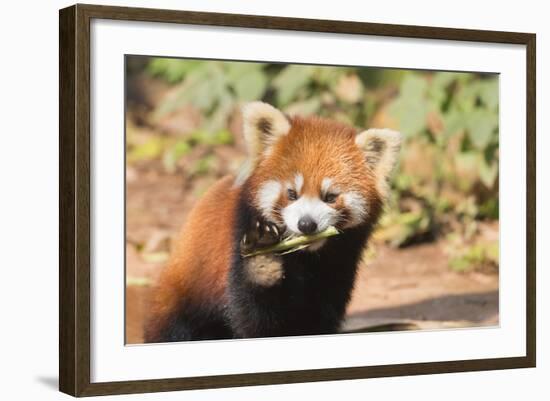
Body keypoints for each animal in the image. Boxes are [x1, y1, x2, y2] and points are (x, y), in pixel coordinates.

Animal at [144, 101, 404, 340]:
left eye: (330, 197)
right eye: (291, 193)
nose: (306, 224)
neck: (306, 258)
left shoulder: (339, 264)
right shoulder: (239, 238)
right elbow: (254, 318)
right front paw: (263, 263)